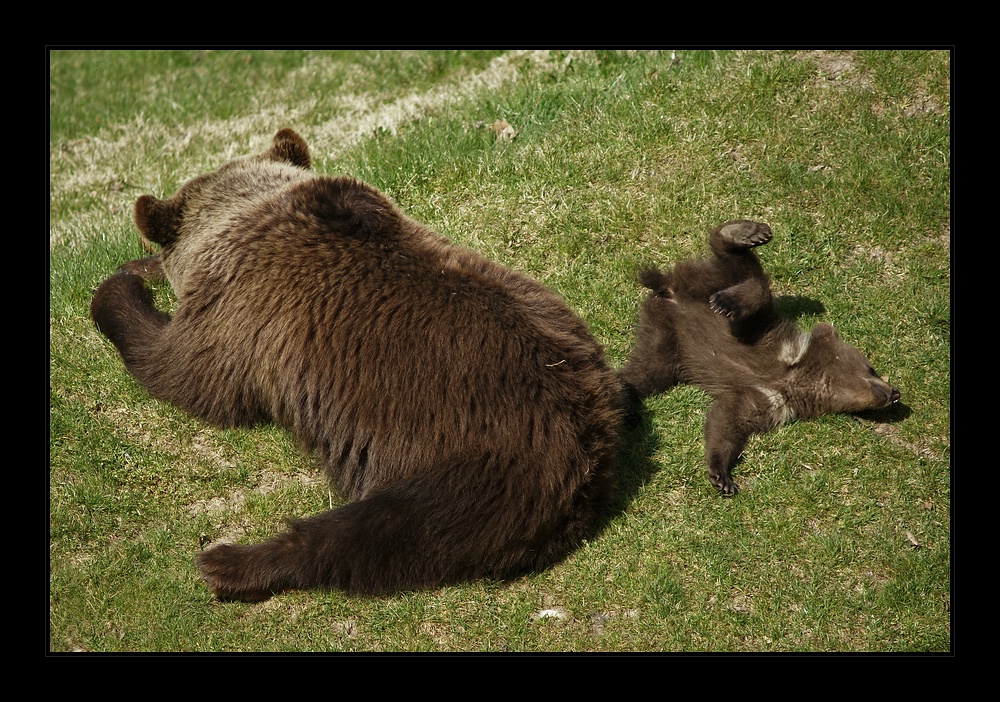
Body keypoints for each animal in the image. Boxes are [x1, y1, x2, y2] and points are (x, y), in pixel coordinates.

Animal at [94, 129, 624, 604]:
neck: (248, 209)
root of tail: (591, 448)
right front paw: (137, 268)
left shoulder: (234, 312)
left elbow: (179, 370)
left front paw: (117, 289)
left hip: (480, 452)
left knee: (383, 528)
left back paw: (229, 562)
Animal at [616, 220, 900, 496]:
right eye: (872, 368)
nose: (895, 392)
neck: (796, 376)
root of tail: (669, 289)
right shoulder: (765, 340)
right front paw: (722, 476)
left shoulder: (768, 399)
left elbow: (727, 420)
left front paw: (720, 475)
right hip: (709, 291)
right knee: (747, 275)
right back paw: (747, 237)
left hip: (666, 341)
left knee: (646, 373)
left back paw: (626, 399)